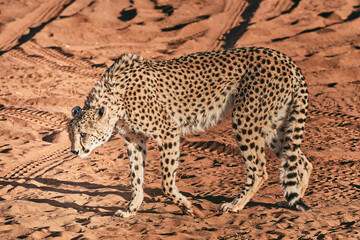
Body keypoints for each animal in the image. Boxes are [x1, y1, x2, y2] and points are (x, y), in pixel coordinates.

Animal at [68, 47, 312, 218]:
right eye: (71, 135)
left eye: (83, 134)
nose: (74, 151)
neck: (114, 99)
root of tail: (284, 57)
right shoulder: (134, 140)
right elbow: (136, 177)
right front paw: (131, 209)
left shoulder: (167, 131)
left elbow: (166, 183)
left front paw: (188, 208)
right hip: (272, 124)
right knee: (300, 159)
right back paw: (293, 199)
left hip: (246, 120)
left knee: (260, 169)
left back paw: (235, 204)